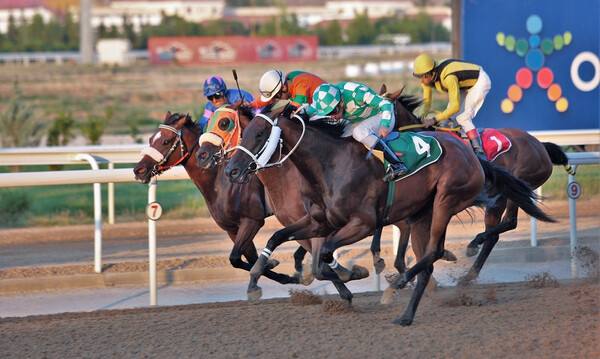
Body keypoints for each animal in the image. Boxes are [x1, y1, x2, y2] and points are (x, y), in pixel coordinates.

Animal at [134, 112, 302, 286]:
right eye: (150, 139)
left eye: (166, 141)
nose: (139, 170)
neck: (219, 181)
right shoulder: (232, 228)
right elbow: (243, 259)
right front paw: (275, 268)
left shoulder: (252, 220)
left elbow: (238, 258)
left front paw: (285, 274)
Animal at [224, 101, 552, 326]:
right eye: (245, 131)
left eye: (260, 133)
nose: (231, 171)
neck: (330, 163)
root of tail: (473, 155)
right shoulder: (319, 221)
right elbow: (281, 239)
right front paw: (256, 279)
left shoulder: (363, 223)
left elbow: (326, 254)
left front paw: (354, 273)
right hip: (422, 213)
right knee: (428, 256)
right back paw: (406, 313)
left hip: (446, 200)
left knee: (436, 251)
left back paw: (399, 284)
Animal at [382, 86, 576, 282]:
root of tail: (540, 145)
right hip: (501, 196)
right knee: (495, 235)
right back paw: (470, 272)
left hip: (514, 186)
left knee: (509, 222)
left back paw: (474, 246)